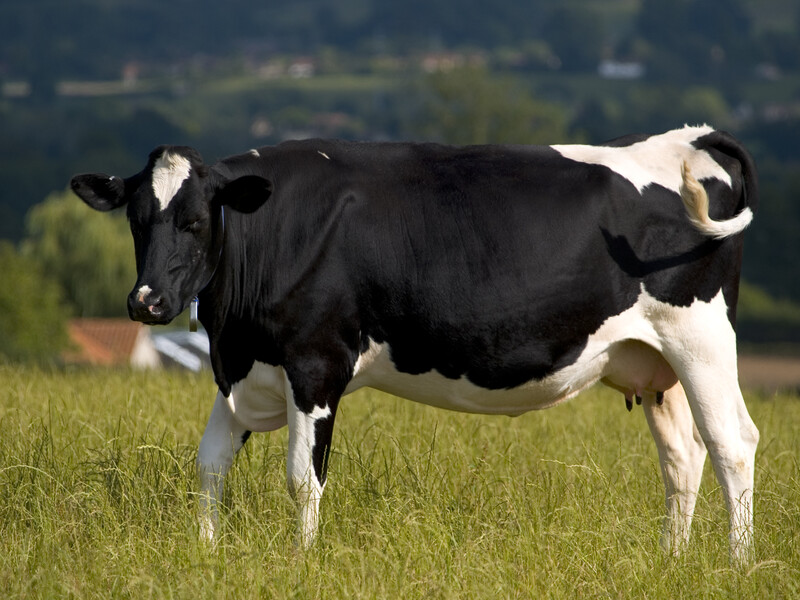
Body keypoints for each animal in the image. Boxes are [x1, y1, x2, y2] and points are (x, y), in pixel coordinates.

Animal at [71, 124, 759, 563]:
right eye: (137, 220)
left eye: (193, 221)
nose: (147, 302)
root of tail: (686, 138)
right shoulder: (243, 371)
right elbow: (209, 466)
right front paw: (207, 555)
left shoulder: (316, 365)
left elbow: (303, 479)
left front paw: (301, 563)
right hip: (655, 363)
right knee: (683, 456)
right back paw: (672, 560)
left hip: (701, 338)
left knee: (732, 444)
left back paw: (739, 564)